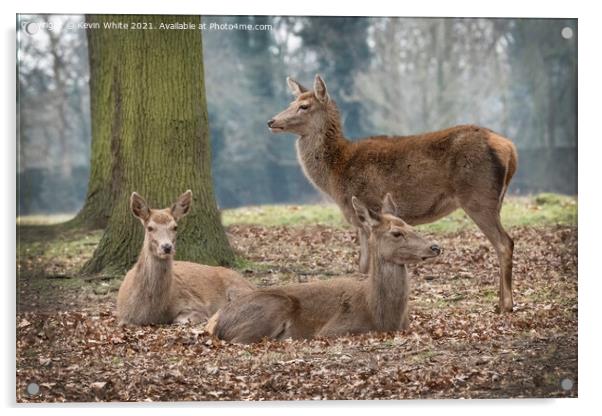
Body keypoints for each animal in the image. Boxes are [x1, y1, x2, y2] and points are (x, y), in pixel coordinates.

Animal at [116, 190, 254, 326]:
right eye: (150, 227)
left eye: (175, 227)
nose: (167, 247)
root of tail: (249, 283)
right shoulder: (123, 317)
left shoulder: (195, 303)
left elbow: (183, 319)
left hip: (238, 288)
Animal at [206, 193, 440, 342]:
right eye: (396, 233)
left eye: (412, 226)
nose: (435, 247)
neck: (381, 316)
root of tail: (218, 321)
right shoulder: (334, 329)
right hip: (272, 306)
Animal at [268, 74, 516, 312]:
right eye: (291, 102)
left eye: (305, 106)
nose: (271, 121)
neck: (336, 174)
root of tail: (510, 149)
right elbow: (362, 264)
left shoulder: (368, 205)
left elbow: (367, 265)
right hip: (496, 200)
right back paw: (498, 303)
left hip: (478, 196)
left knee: (505, 243)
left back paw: (507, 305)